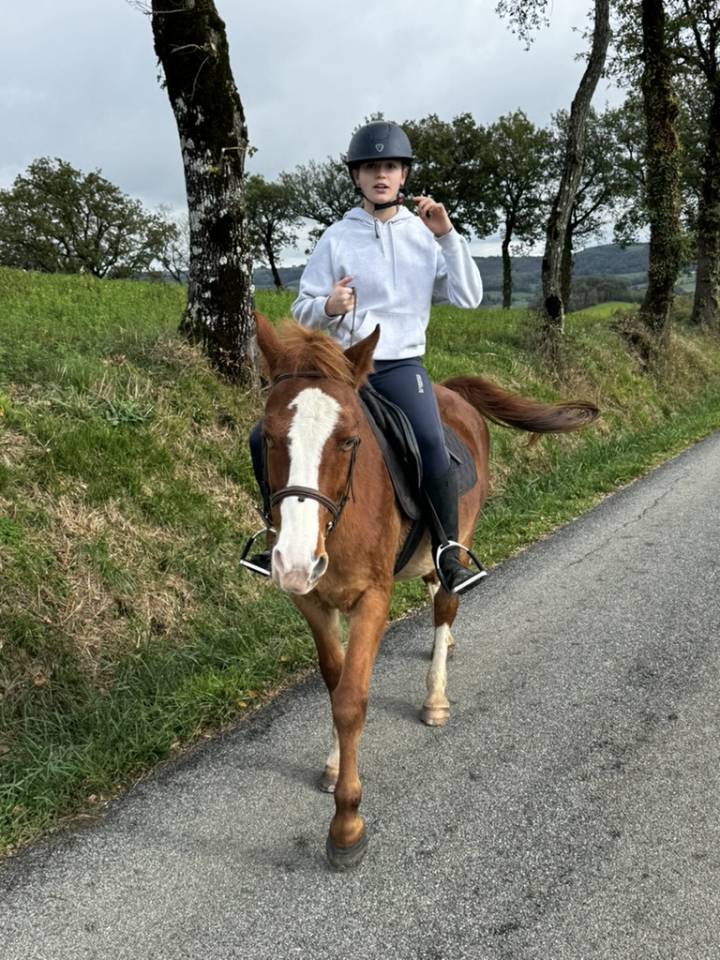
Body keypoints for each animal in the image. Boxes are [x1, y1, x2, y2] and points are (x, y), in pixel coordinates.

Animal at [252, 312, 599, 869]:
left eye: (348, 440)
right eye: (267, 437)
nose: (295, 560)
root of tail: (451, 392)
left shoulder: (373, 600)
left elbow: (351, 699)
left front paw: (346, 824)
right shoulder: (311, 600)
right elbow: (334, 681)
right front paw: (334, 766)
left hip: (459, 535)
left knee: (445, 599)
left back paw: (436, 695)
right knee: (436, 590)